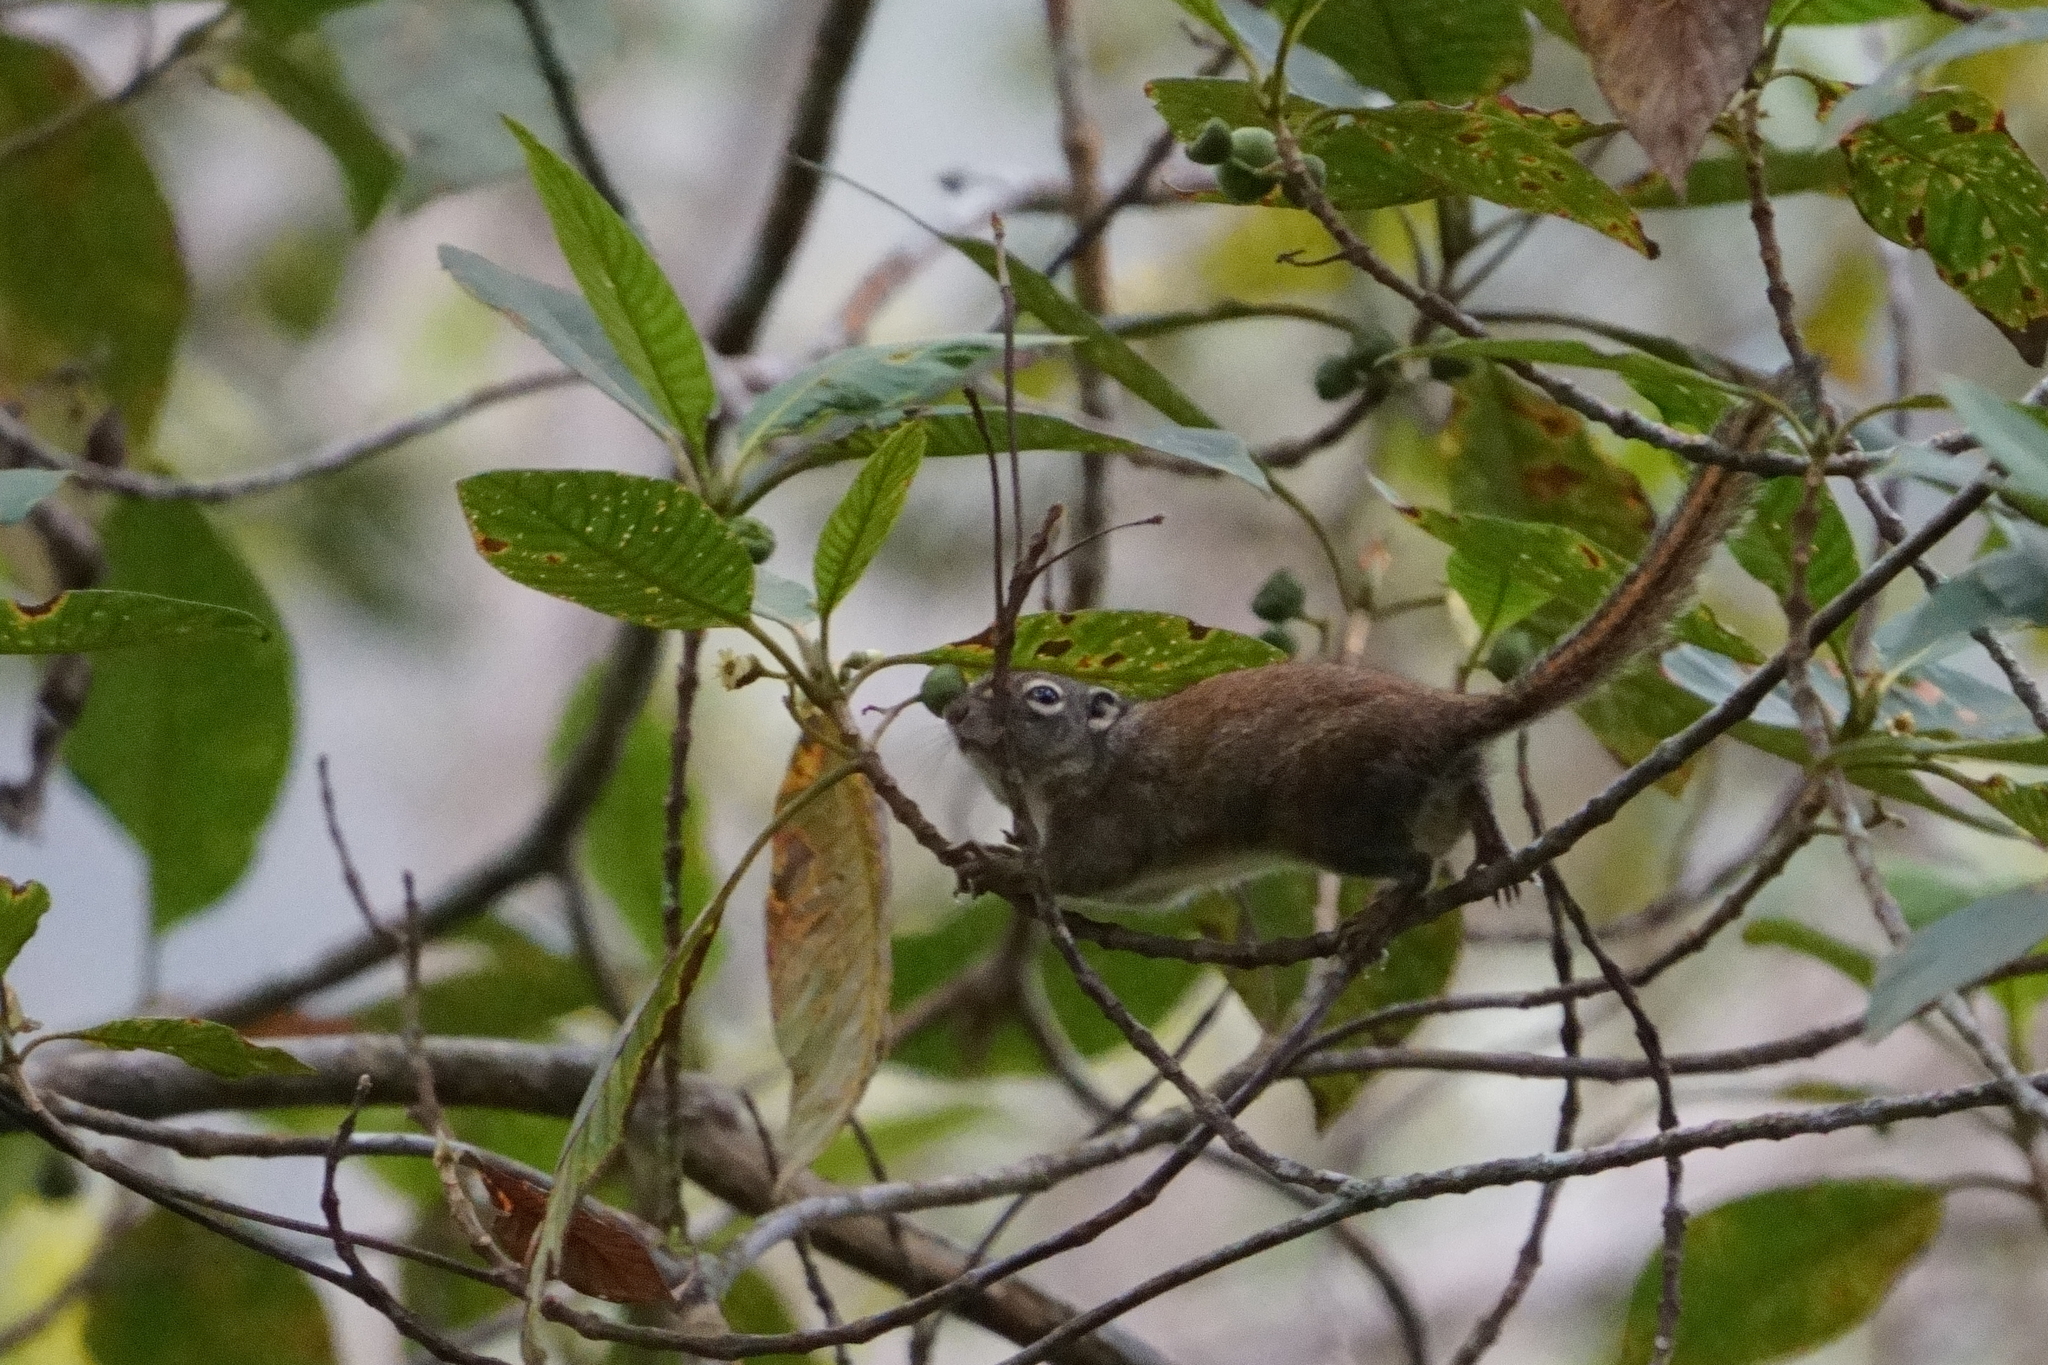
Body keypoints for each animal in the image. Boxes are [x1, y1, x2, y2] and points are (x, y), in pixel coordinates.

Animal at [943, 402, 1776, 901]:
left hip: (1330, 808)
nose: (952, 712)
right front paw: (1005, 842)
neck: (1095, 759)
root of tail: (1447, 718)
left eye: (1042, 695)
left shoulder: (1108, 825)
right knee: (1472, 797)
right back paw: (1491, 850)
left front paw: (999, 862)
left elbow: (1074, 875)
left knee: (1410, 865)